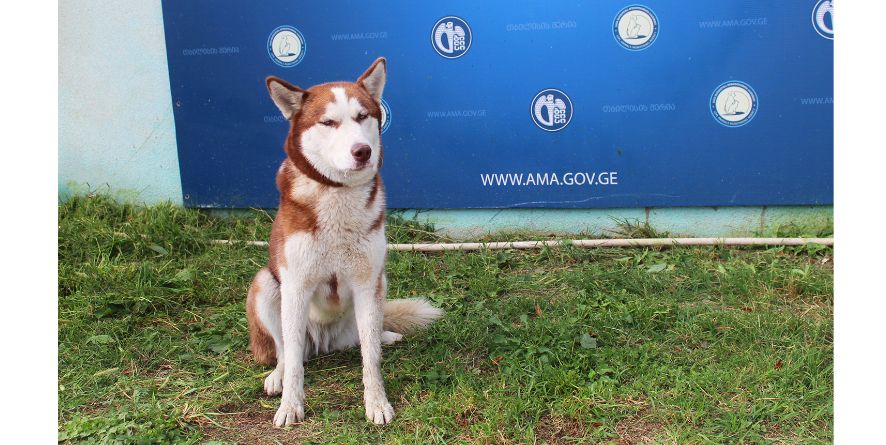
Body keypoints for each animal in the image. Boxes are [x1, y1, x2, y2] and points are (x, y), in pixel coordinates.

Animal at [246, 57, 444, 424]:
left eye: (362, 116)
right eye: (328, 122)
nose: (362, 151)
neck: (337, 195)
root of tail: (323, 343)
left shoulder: (368, 282)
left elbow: (372, 358)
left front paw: (376, 402)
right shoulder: (295, 285)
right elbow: (293, 362)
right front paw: (291, 406)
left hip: (381, 283)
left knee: (366, 339)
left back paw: (386, 335)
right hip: (266, 285)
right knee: (286, 351)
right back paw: (277, 375)